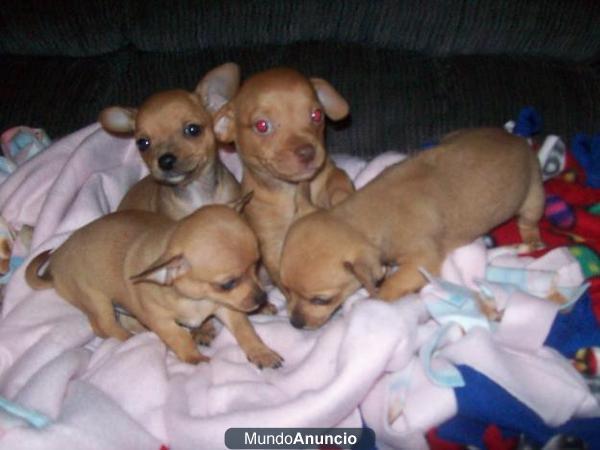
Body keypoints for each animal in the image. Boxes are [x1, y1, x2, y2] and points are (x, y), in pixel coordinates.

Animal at [25, 198, 284, 370]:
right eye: (228, 283)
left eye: (257, 265)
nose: (261, 297)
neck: (194, 299)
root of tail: (55, 263)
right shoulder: (162, 320)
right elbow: (178, 336)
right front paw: (194, 357)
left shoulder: (227, 309)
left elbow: (245, 331)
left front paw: (261, 353)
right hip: (96, 299)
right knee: (104, 326)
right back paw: (130, 339)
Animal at [280, 128, 544, 328]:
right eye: (285, 290)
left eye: (320, 300)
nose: (295, 324)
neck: (367, 217)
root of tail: (518, 138)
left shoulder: (421, 262)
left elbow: (391, 285)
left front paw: (376, 299)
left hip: (532, 197)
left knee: (528, 220)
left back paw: (531, 240)